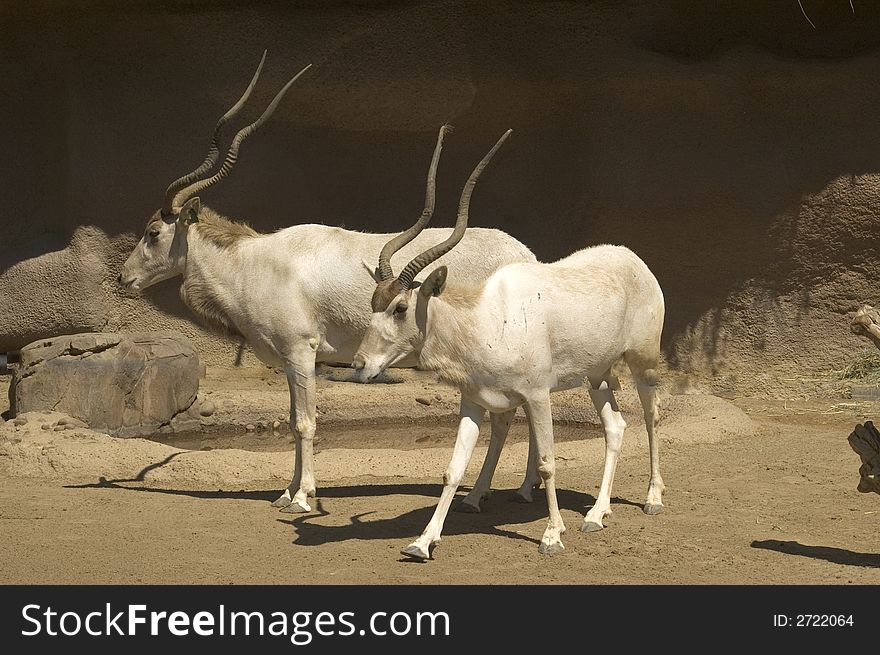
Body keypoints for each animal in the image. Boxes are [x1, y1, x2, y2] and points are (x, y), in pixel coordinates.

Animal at [117, 53, 540, 516]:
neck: (254, 262)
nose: (123, 278)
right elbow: (290, 419)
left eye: (153, 232)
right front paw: (286, 491)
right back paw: (523, 488)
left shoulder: (302, 352)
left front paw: (302, 497)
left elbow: (305, 422)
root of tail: (528, 256)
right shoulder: (289, 360)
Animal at [352, 128, 668, 560]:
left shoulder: (537, 396)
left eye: (400, 308)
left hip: (643, 362)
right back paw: (595, 514)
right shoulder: (473, 401)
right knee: (615, 426)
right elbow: (453, 468)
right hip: (597, 375)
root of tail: (634, 261)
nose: (359, 364)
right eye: (373, 304)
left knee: (651, 416)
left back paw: (652, 498)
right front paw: (422, 542)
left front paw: (552, 536)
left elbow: (549, 461)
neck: (483, 321)